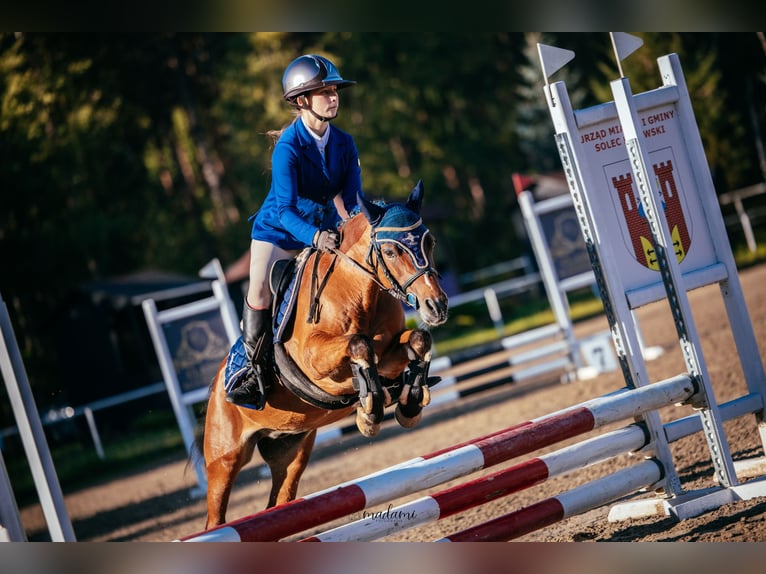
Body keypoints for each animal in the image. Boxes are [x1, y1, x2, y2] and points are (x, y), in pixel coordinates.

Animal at [202, 180, 449, 528]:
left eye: (430, 242)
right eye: (389, 251)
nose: (436, 307)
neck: (359, 291)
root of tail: (214, 389)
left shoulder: (389, 353)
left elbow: (418, 338)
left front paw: (409, 401)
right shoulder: (316, 362)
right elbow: (359, 345)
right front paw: (369, 412)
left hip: (291, 449)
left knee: (279, 502)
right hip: (224, 460)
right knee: (216, 518)